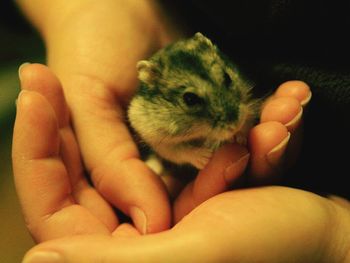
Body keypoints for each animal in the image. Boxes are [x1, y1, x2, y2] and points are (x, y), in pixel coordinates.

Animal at [127, 32, 258, 171]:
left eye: (227, 77)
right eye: (190, 99)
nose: (236, 125)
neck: (198, 132)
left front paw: (239, 138)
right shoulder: (157, 139)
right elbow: (181, 151)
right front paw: (206, 158)